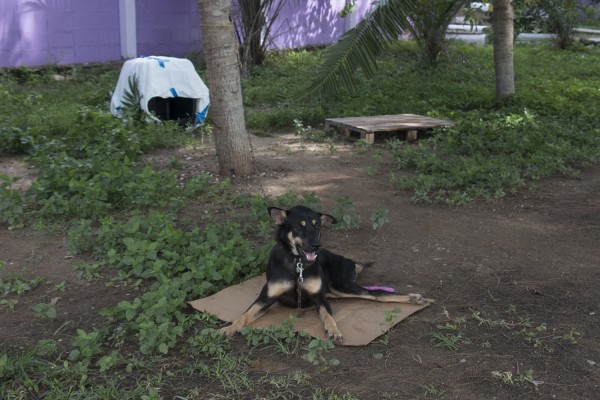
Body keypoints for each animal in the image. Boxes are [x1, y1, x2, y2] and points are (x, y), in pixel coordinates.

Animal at [218, 206, 428, 340]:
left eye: (317, 226)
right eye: (298, 226)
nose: (317, 246)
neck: (297, 264)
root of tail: (349, 261)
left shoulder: (319, 298)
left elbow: (329, 316)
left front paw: (334, 330)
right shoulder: (266, 298)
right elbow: (244, 315)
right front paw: (229, 328)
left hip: (341, 285)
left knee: (378, 293)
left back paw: (413, 298)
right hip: (336, 291)